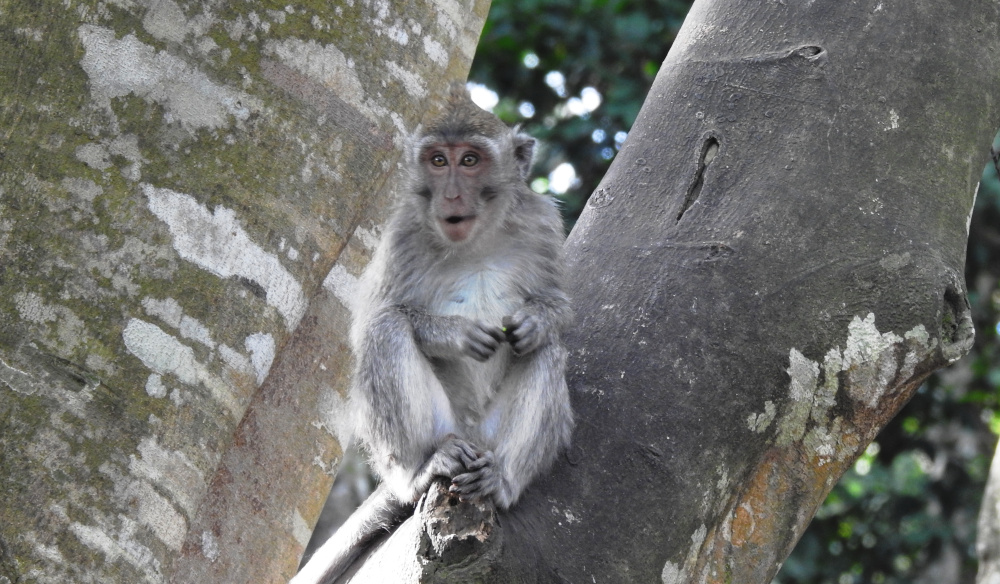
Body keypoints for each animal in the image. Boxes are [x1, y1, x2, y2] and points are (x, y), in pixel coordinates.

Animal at [292, 85, 572, 584]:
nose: (451, 193)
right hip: (441, 430)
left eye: (470, 160)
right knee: (385, 331)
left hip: (490, 437)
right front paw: (454, 334)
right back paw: (423, 468)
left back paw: (503, 480)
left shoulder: (542, 222)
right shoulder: (400, 233)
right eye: (438, 161)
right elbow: (372, 320)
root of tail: (470, 435)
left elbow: (557, 307)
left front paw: (536, 320)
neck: (476, 240)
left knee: (546, 351)